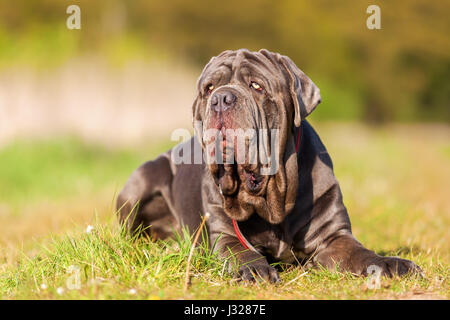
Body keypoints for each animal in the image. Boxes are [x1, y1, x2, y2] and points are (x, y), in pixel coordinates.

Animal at [117, 48, 422, 282]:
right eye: (209, 88)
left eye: (256, 86)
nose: (221, 98)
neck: (272, 197)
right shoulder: (225, 235)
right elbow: (240, 253)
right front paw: (254, 270)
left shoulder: (333, 236)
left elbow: (362, 253)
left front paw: (391, 262)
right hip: (141, 180)